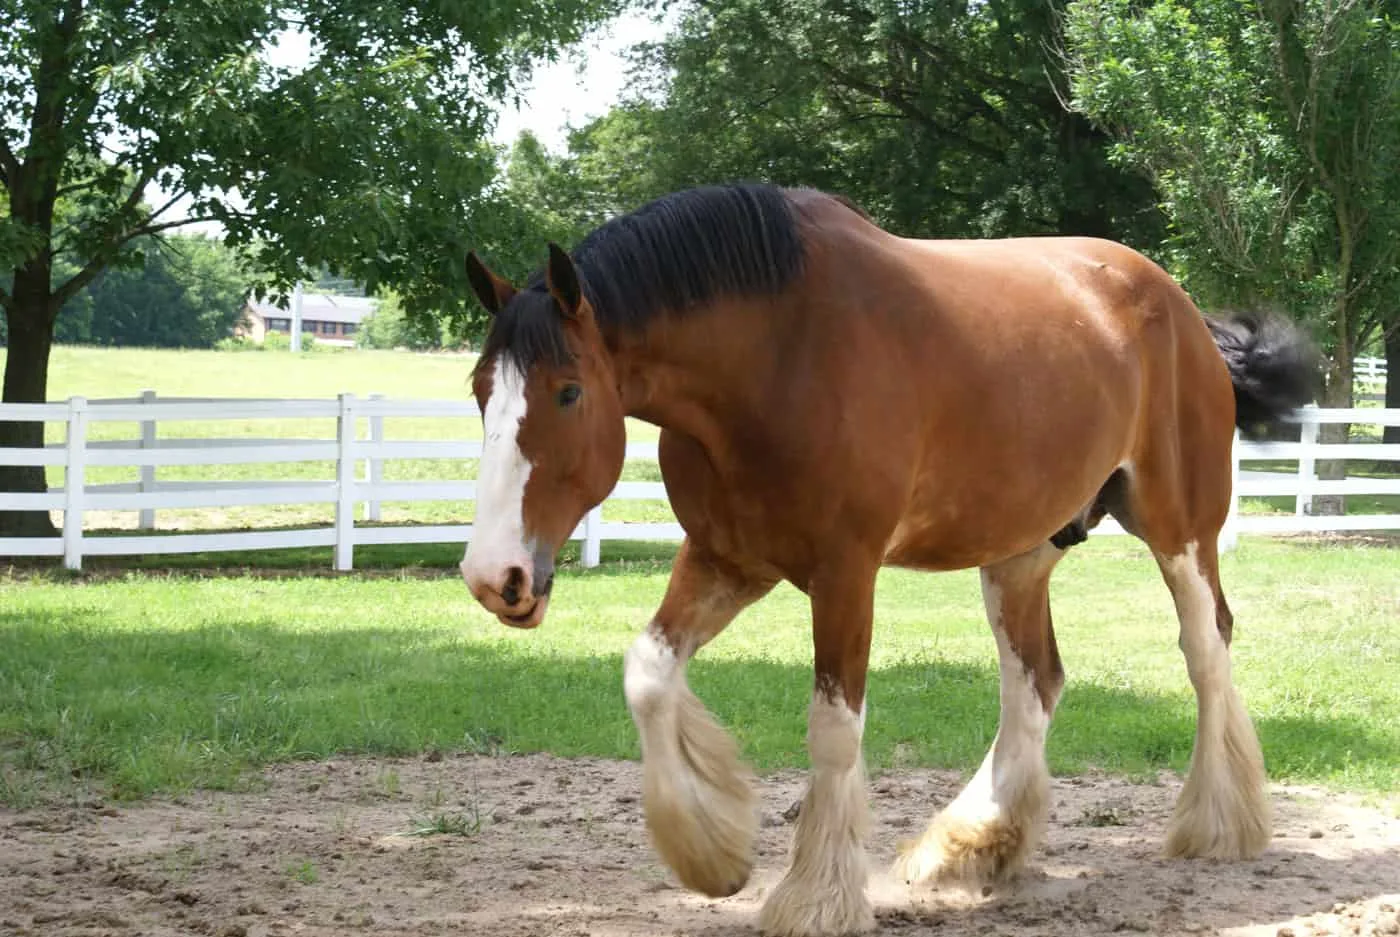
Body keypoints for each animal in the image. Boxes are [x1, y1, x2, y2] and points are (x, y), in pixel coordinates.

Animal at [462, 184, 1321, 935]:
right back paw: (973, 842)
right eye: (479, 391)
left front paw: (813, 897)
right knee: (1034, 682)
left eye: (568, 391)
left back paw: (1220, 825)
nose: (494, 577)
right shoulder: (726, 560)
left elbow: (833, 728)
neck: (776, 356)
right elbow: (646, 672)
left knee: (1206, 649)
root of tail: (1181, 308)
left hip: (1181, 531)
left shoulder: (845, 573)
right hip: (1018, 554)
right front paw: (711, 853)